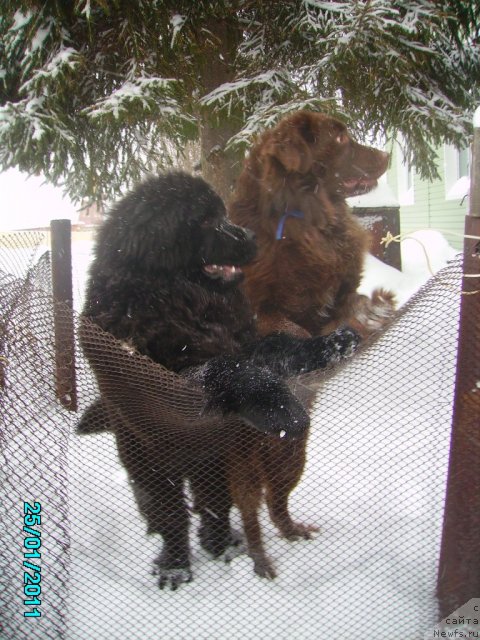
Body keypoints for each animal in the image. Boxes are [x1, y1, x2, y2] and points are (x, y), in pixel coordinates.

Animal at [79, 171, 358, 592]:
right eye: (208, 222)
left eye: (223, 215)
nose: (251, 236)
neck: (184, 300)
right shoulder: (175, 380)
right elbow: (229, 369)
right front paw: (284, 410)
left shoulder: (245, 342)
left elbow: (279, 346)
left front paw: (332, 343)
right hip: (149, 460)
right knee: (169, 516)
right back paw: (175, 565)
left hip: (215, 459)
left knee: (214, 506)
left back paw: (224, 544)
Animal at [231, 110, 396, 340]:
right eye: (340, 138)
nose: (386, 156)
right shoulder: (259, 310)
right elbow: (294, 329)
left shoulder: (343, 292)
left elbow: (358, 301)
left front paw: (373, 313)